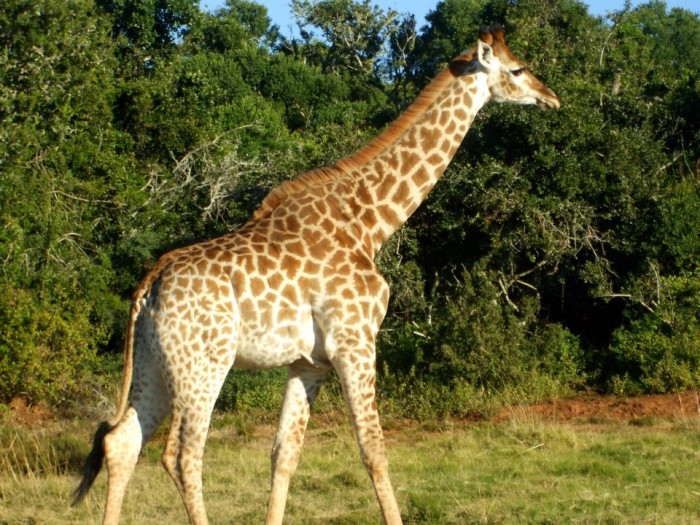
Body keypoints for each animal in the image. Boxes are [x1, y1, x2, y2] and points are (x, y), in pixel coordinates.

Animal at [74, 24, 560, 524]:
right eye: (518, 69)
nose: (552, 98)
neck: (370, 223)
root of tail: (147, 287)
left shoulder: (308, 362)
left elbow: (283, 454)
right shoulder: (355, 342)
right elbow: (374, 451)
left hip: (155, 362)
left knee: (122, 443)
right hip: (204, 364)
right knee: (181, 455)